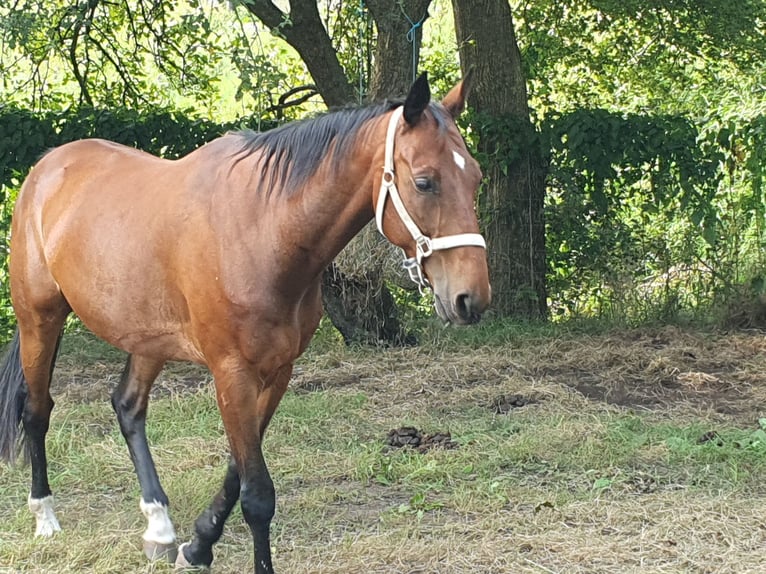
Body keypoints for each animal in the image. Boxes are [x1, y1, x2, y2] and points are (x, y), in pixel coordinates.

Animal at [0, 74, 492, 572]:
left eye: (475, 177)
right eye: (425, 182)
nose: (471, 298)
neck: (262, 230)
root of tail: (48, 168)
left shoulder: (276, 372)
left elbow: (238, 471)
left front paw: (198, 545)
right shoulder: (232, 372)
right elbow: (257, 495)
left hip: (148, 338)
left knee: (128, 406)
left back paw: (159, 526)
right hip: (40, 320)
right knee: (37, 411)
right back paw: (45, 517)